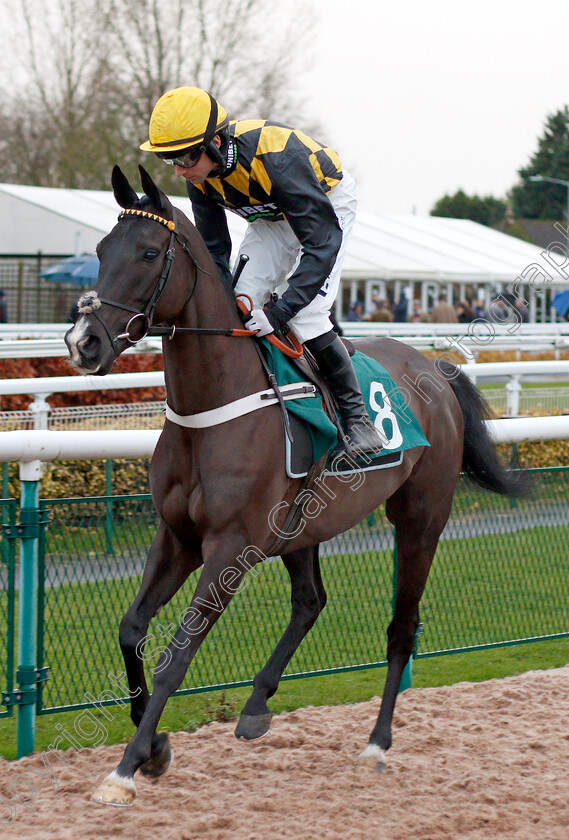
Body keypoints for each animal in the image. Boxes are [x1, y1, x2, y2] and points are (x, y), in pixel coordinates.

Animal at [65, 166, 528, 808]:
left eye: (149, 252)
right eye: (101, 250)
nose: (82, 342)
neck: (212, 406)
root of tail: (435, 371)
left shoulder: (231, 547)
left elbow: (176, 654)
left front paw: (128, 766)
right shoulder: (177, 536)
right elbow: (132, 628)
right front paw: (154, 748)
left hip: (421, 516)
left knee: (401, 627)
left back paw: (376, 744)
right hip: (305, 523)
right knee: (310, 602)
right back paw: (258, 703)